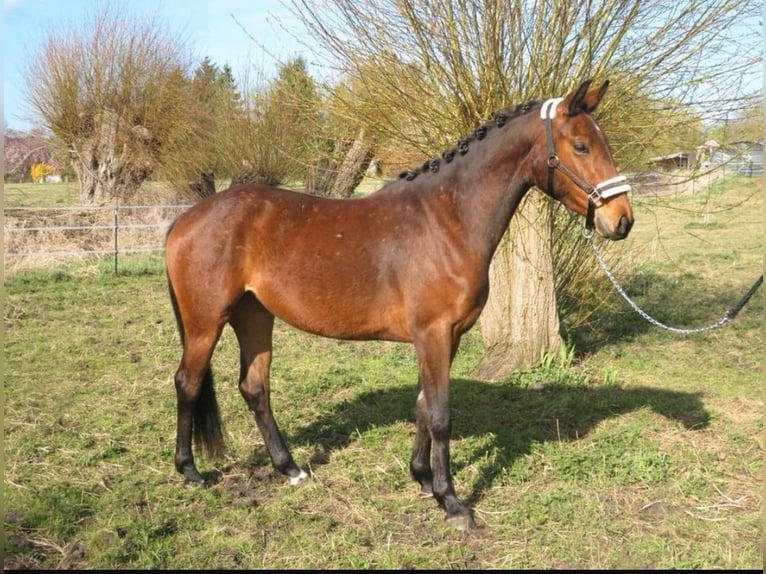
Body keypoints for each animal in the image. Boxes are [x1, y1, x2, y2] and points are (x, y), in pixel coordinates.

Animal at [164, 79, 634, 530]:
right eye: (581, 145)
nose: (622, 221)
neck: (448, 220)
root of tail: (186, 219)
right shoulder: (433, 333)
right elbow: (441, 415)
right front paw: (452, 503)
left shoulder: (447, 337)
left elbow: (424, 406)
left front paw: (422, 479)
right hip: (206, 322)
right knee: (188, 383)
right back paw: (190, 472)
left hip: (255, 316)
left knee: (254, 387)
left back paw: (290, 469)